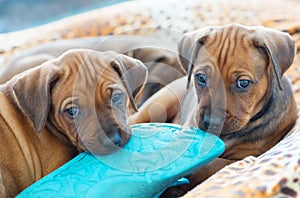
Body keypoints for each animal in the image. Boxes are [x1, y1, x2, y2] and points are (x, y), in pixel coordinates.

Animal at [132, 23, 298, 196]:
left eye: (243, 83)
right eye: (201, 78)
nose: (210, 122)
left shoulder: (244, 157)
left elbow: (210, 165)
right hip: (157, 105)